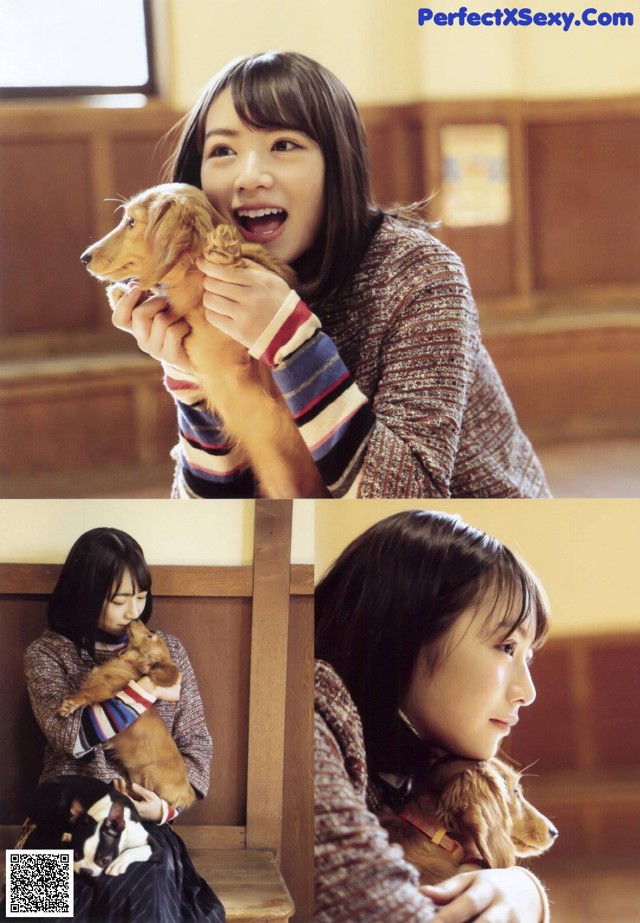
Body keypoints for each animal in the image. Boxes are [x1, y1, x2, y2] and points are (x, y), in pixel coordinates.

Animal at [26, 776, 159, 876]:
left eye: (104, 861)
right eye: (76, 855)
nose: (85, 871)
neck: (104, 816)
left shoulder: (155, 847)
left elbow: (136, 850)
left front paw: (118, 863)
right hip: (60, 794)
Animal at [59, 620, 195, 808]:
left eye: (150, 636)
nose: (136, 619)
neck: (127, 664)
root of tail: (187, 794)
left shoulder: (105, 690)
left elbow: (86, 692)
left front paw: (69, 704)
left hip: (150, 776)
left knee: (143, 795)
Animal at [80, 180, 328, 498]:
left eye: (132, 222)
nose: (84, 258)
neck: (193, 280)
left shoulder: (238, 370)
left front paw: (222, 249)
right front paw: (122, 294)